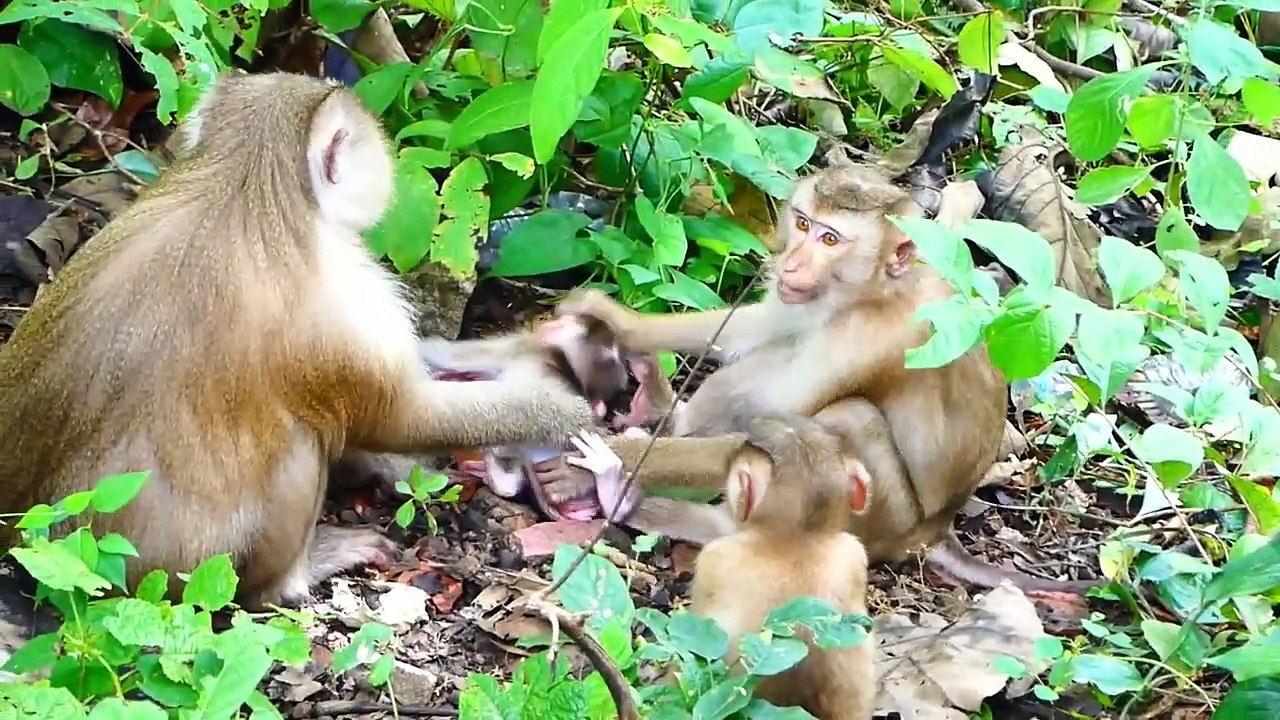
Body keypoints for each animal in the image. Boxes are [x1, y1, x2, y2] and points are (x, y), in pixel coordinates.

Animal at [0, 71, 597, 611]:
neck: (246, 184)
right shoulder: (346, 300)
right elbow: (398, 415)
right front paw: (555, 411)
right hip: (183, 575)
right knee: (297, 445)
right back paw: (291, 578)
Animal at [531, 163, 1101, 593]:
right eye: (804, 225)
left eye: (831, 239)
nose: (792, 264)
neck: (876, 290)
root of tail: (938, 530)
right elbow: (761, 327)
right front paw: (617, 321)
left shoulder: (863, 337)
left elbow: (772, 427)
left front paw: (595, 463)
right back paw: (659, 409)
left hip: (883, 517)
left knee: (850, 416)